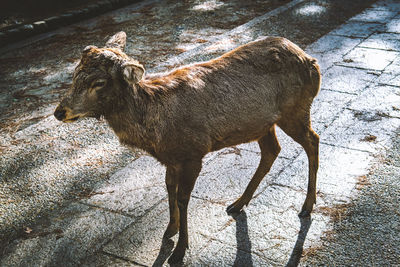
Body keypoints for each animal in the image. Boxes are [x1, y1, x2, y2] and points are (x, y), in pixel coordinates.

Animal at [54, 31, 322, 264]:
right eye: (75, 73)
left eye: (98, 82)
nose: (59, 111)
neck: (156, 132)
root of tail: (311, 61)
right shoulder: (171, 159)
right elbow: (169, 189)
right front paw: (169, 230)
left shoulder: (194, 153)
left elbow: (183, 198)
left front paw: (180, 250)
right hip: (263, 124)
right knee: (272, 150)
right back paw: (238, 203)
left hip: (295, 110)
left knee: (313, 140)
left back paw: (307, 206)